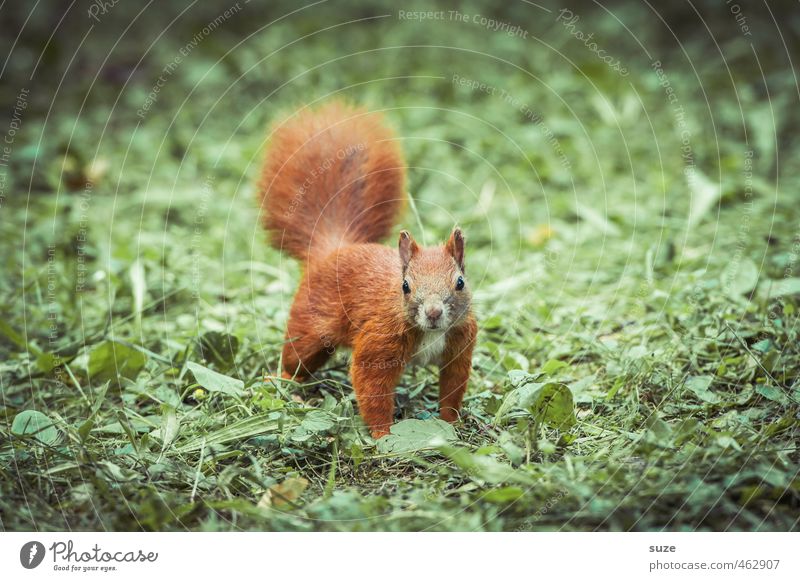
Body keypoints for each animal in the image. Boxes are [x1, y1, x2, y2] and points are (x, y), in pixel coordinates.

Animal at [260, 101, 478, 436]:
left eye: (460, 282)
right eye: (405, 286)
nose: (433, 313)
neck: (430, 332)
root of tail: (333, 249)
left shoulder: (460, 346)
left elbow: (453, 385)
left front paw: (451, 424)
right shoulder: (378, 341)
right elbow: (371, 385)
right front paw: (383, 435)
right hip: (309, 325)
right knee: (296, 358)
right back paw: (282, 382)